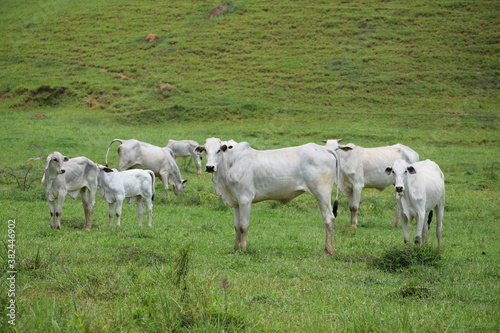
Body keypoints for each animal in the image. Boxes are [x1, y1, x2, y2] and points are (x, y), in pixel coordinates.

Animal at [195, 139, 340, 253]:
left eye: (219, 150)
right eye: (205, 150)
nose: (209, 167)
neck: (230, 164)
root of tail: (324, 149)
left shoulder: (245, 200)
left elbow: (243, 226)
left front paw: (243, 249)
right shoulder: (236, 203)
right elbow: (236, 227)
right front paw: (235, 248)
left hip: (322, 194)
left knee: (329, 218)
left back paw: (328, 250)